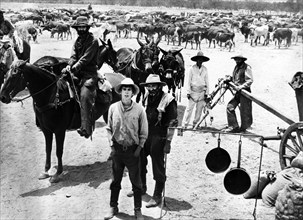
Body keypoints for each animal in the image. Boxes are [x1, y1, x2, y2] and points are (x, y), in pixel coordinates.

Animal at [0, 39, 123, 182]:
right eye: (6, 74)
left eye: (15, 75)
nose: (2, 97)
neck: (52, 95)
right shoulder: (47, 130)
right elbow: (48, 149)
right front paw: (46, 171)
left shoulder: (59, 130)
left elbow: (59, 151)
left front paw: (57, 173)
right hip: (107, 113)